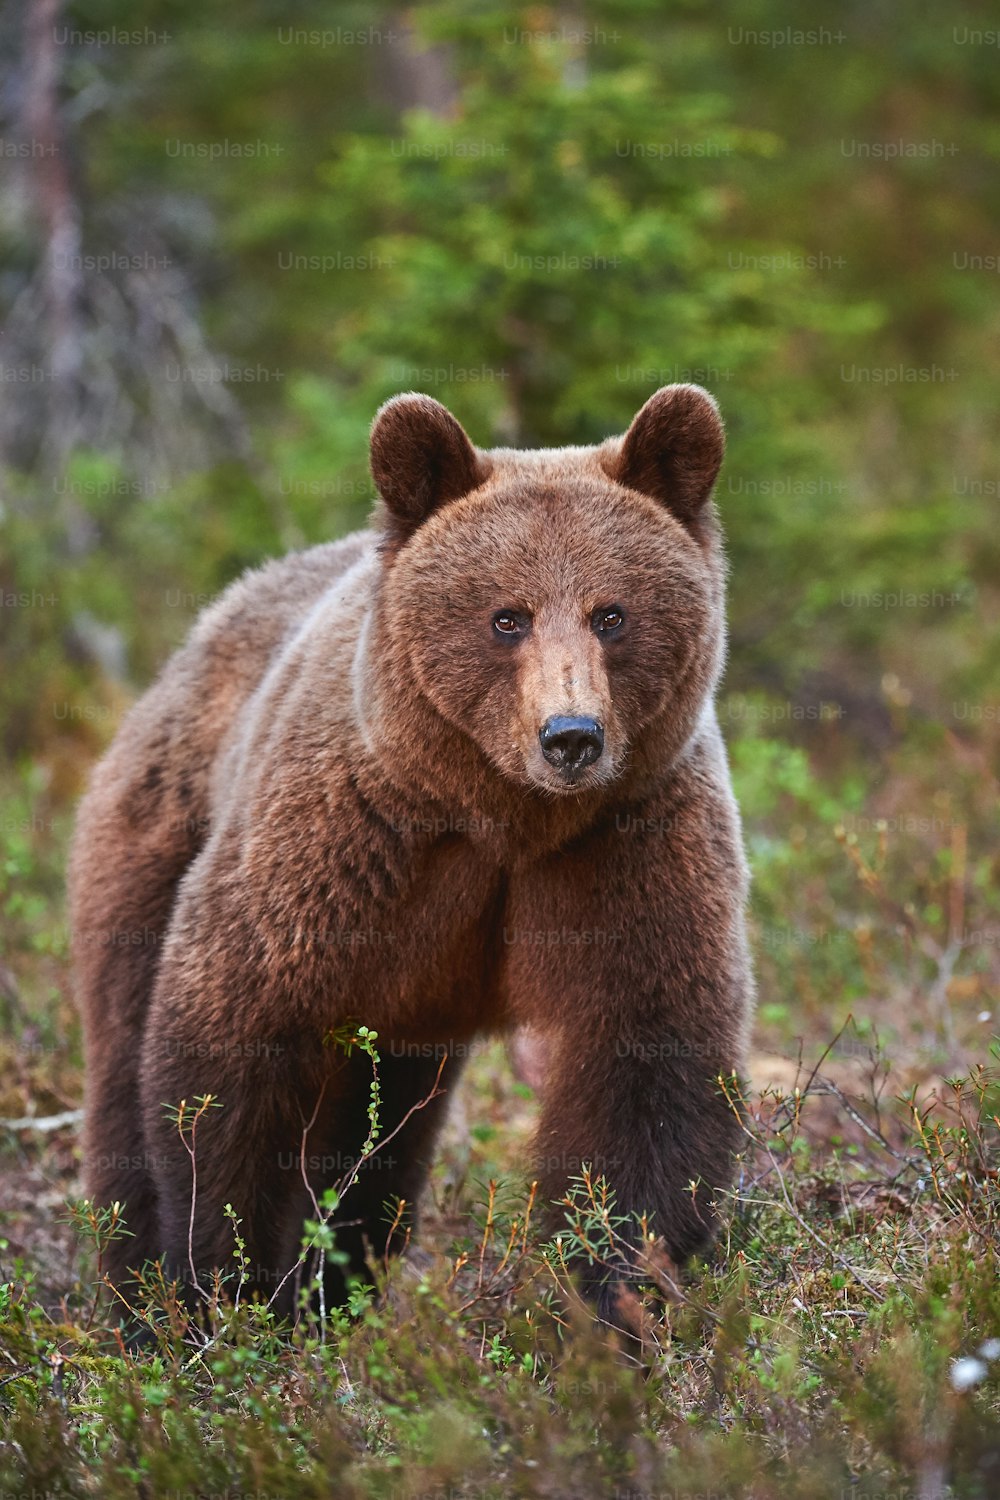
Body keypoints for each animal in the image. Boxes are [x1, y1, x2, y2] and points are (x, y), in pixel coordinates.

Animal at [70, 384, 755, 1326]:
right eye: (506, 617)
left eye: (612, 614)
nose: (570, 737)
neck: (503, 816)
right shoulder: (344, 846)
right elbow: (233, 1047)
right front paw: (227, 1288)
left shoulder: (626, 845)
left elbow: (646, 1067)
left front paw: (614, 1295)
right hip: (156, 833)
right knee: (125, 1051)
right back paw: (141, 1297)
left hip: (408, 1010)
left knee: (384, 1131)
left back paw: (340, 1282)